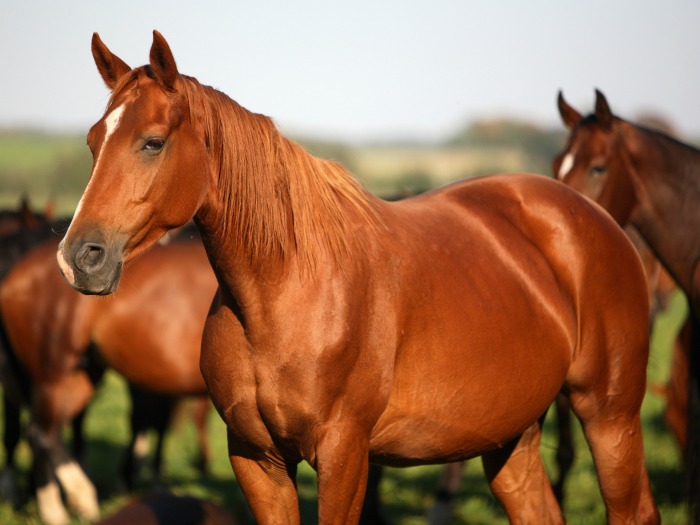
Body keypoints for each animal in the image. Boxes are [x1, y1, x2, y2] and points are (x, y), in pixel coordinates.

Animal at [57, 32, 660, 524]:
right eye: (92, 141)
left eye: (152, 141)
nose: (79, 257)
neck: (285, 292)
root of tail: (591, 216)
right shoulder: (256, 459)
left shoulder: (344, 455)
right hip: (511, 434)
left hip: (609, 415)